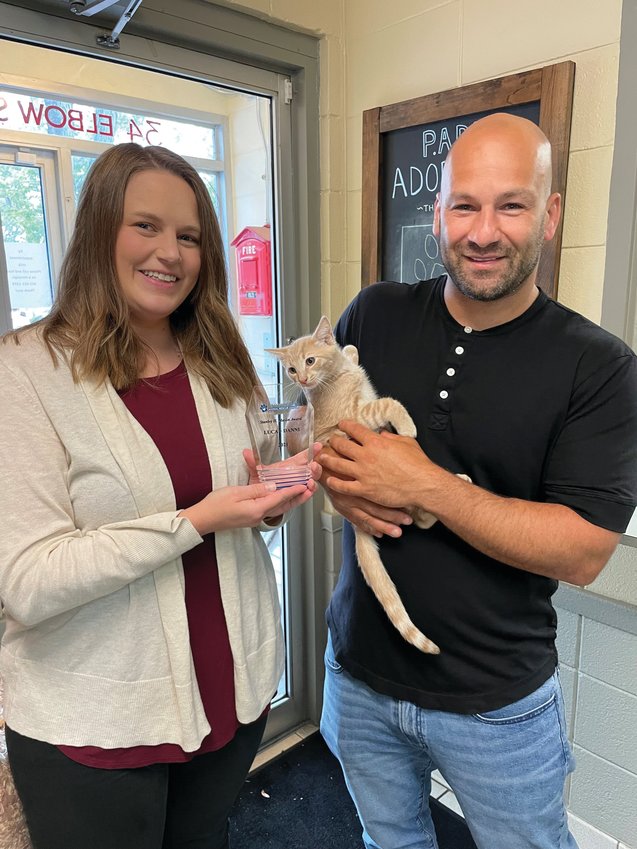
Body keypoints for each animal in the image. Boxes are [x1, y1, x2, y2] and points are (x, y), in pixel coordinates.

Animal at [266, 314, 470, 652]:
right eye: (291, 369)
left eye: (309, 361)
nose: (303, 380)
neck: (335, 377)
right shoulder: (354, 418)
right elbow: (387, 403)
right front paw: (408, 427)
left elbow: (349, 352)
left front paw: (348, 349)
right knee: (421, 517)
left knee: (423, 518)